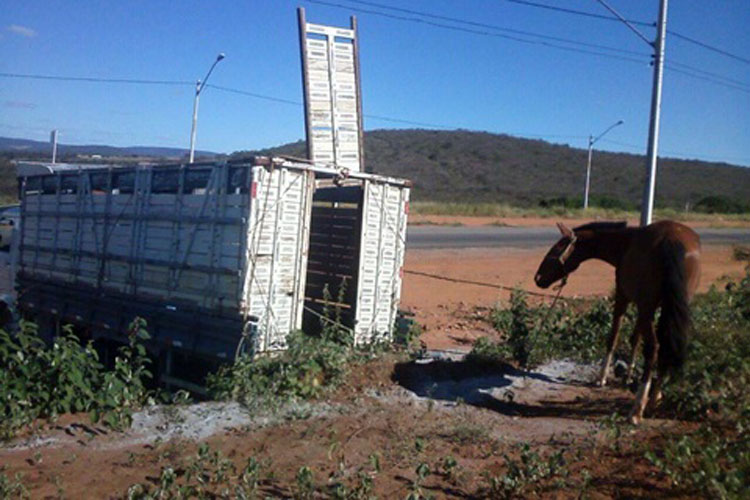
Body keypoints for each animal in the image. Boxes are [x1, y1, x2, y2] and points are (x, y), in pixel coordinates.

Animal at [536, 221, 704, 424]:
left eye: (558, 246)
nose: (538, 278)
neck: (624, 243)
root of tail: (672, 240)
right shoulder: (647, 307)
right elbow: (635, 338)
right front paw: (629, 375)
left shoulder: (623, 297)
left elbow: (614, 336)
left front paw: (601, 377)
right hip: (670, 307)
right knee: (664, 346)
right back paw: (654, 399)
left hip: (647, 306)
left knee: (653, 348)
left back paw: (637, 409)